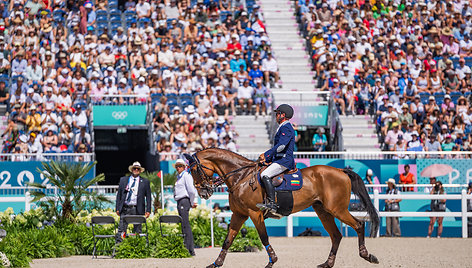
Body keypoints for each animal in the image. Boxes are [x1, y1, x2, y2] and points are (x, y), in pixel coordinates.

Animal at [183, 149, 380, 268]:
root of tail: (340, 171)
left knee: (358, 225)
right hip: (323, 211)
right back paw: (327, 263)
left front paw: (272, 261)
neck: (241, 177)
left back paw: (368, 255)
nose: (203, 192)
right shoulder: (239, 214)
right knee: (336, 235)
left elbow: (263, 237)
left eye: (194, 170)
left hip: (337, 209)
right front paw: (216, 263)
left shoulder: (255, 214)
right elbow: (227, 240)